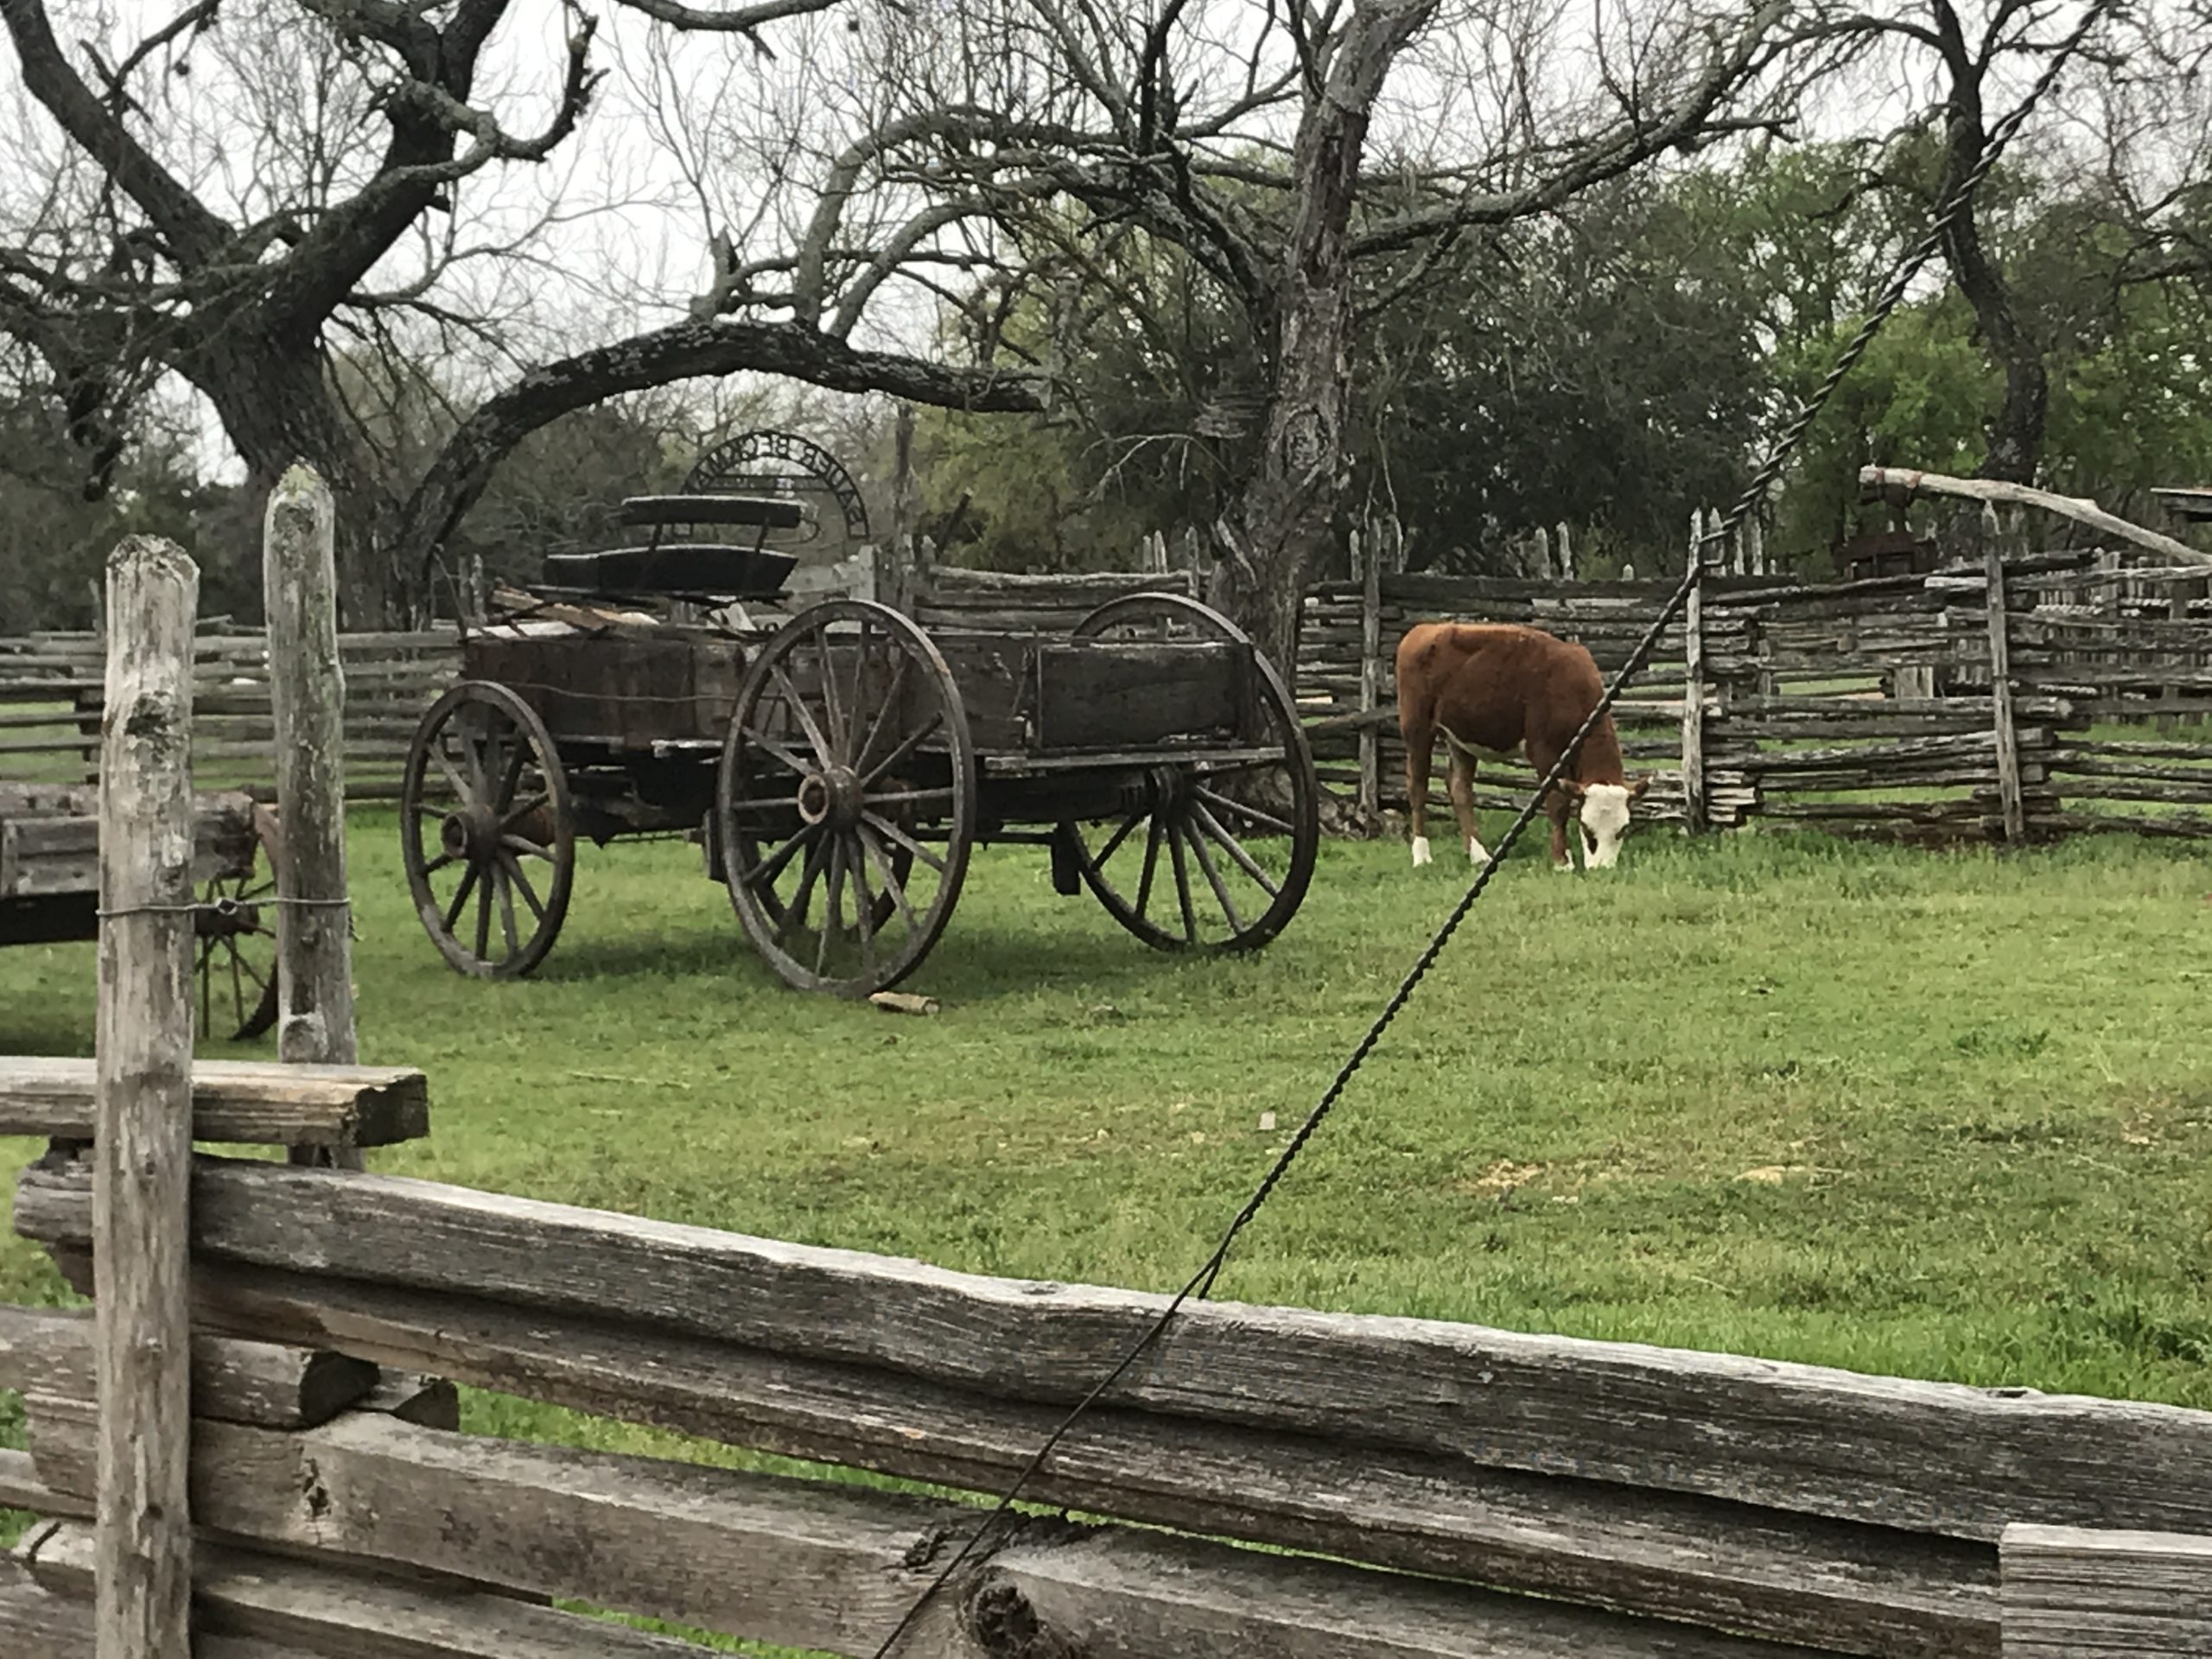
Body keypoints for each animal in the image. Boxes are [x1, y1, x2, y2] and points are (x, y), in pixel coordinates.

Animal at [1395, 622, 1649, 872]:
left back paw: (1479, 855)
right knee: (1418, 787)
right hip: (1417, 727)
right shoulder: (1544, 751)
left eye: (1623, 829)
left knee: (1459, 787)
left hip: (1461, 738)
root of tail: (1424, 629)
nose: (1602, 869)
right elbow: (1558, 803)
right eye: (1587, 828)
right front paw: (1562, 861)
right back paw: (1422, 856)